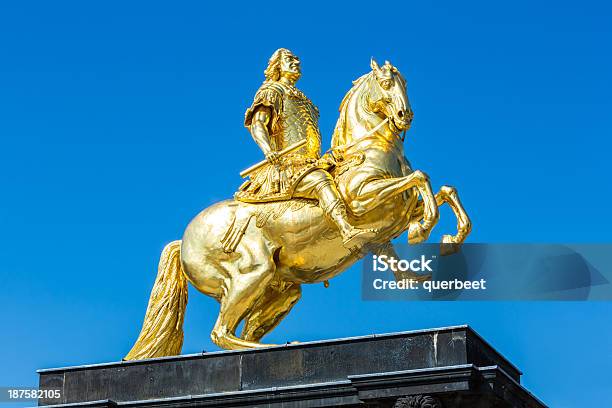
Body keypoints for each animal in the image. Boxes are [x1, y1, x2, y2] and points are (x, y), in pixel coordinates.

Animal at [123, 59, 468, 358]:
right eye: (386, 83)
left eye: (405, 82)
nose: (404, 114)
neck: (368, 150)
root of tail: (183, 241)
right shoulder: (362, 197)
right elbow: (420, 178)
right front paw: (422, 229)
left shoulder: (397, 212)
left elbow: (444, 190)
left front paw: (449, 240)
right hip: (251, 273)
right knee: (221, 332)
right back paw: (279, 348)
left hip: (280, 290)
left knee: (240, 331)